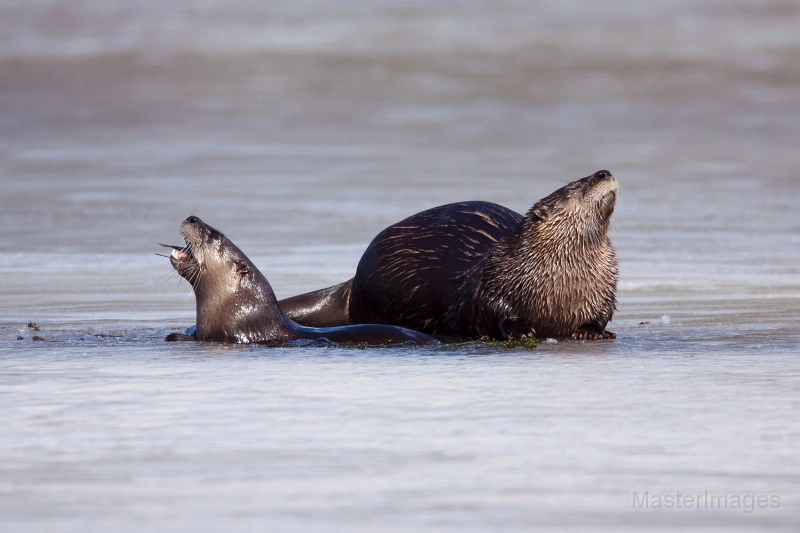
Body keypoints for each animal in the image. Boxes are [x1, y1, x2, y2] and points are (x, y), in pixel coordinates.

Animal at [280, 170, 618, 340]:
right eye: (575, 186)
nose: (604, 172)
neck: (563, 283)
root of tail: (353, 284)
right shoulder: (491, 283)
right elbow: (492, 311)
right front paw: (521, 330)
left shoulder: (605, 287)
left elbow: (602, 314)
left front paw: (591, 332)